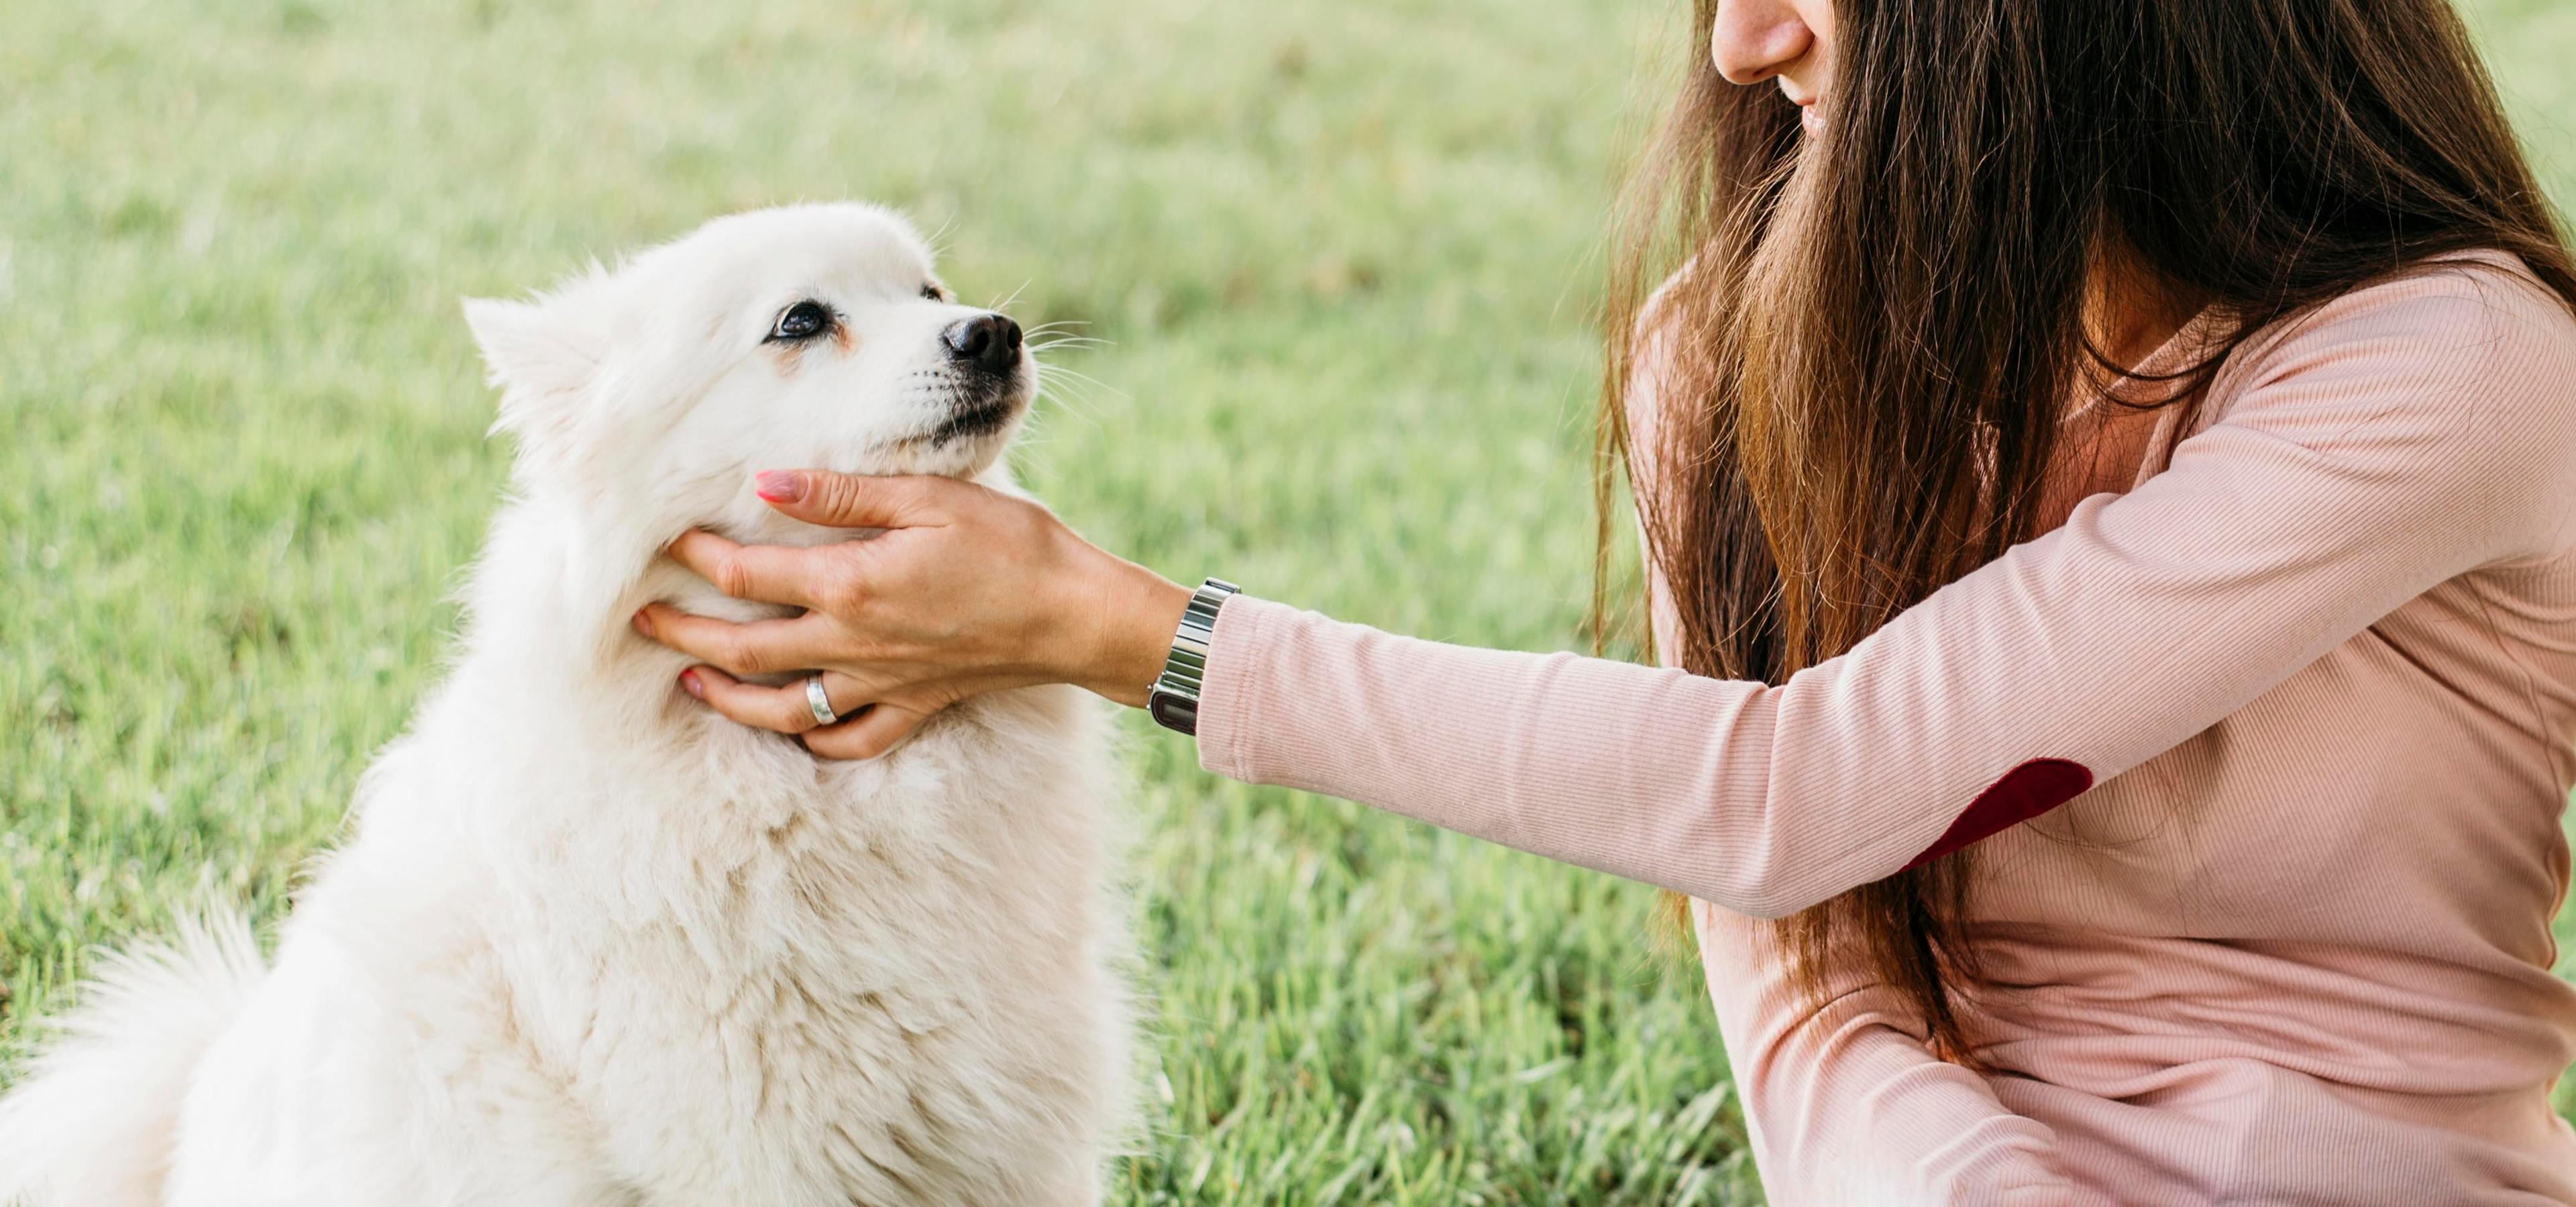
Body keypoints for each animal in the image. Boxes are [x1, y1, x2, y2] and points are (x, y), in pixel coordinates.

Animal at [0, 205, 1138, 1207]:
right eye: (802, 321)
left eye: (929, 290)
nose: (993, 331)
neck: (812, 774)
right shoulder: (754, 1141)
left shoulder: (1011, 1125)